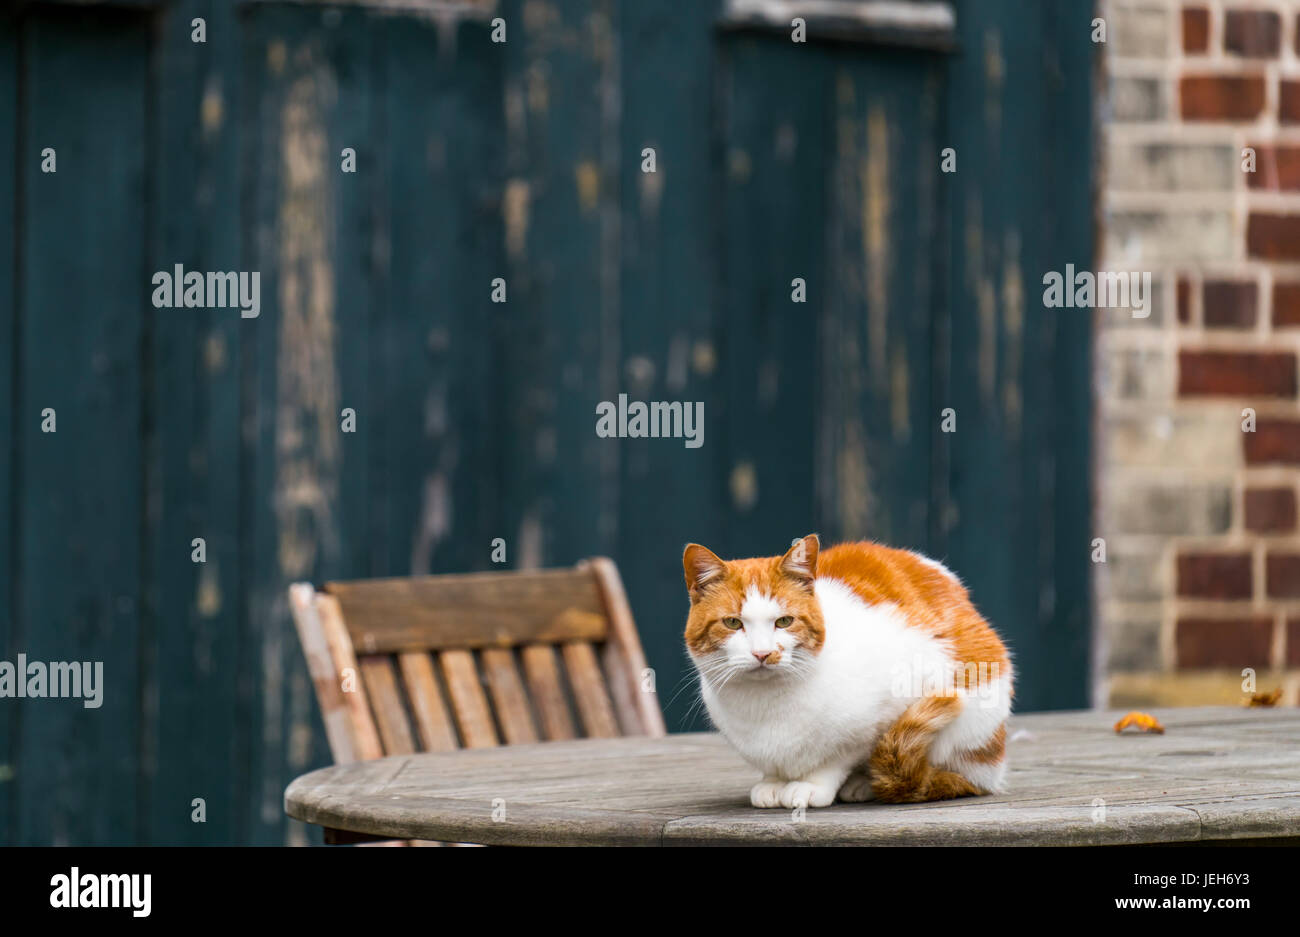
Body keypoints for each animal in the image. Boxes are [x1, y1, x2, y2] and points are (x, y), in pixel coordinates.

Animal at [686, 532, 1008, 805]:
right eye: (732, 623)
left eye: (784, 621)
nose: (763, 653)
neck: (765, 704)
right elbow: (775, 767)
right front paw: (773, 783)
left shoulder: (890, 704)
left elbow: (838, 758)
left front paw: (812, 785)